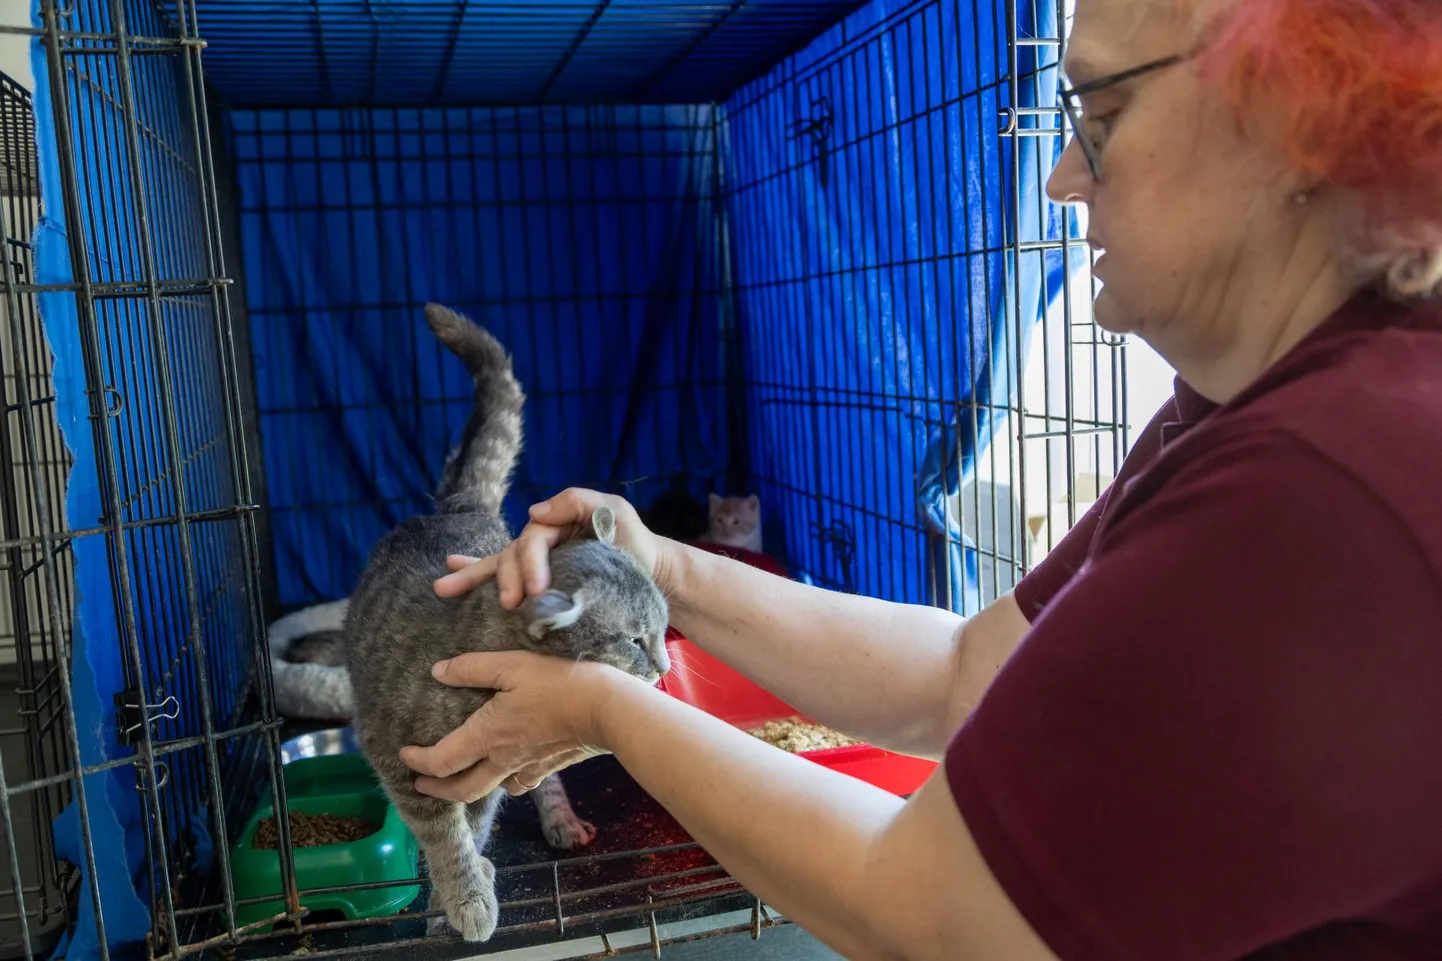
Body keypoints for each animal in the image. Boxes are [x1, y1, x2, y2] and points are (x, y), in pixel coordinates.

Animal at [343, 303, 669, 940]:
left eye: (664, 629)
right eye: (635, 640)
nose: (666, 666)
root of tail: (459, 510)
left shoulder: (489, 770)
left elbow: (473, 821)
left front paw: (466, 888)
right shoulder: (395, 755)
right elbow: (444, 833)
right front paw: (465, 891)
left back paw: (560, 818)